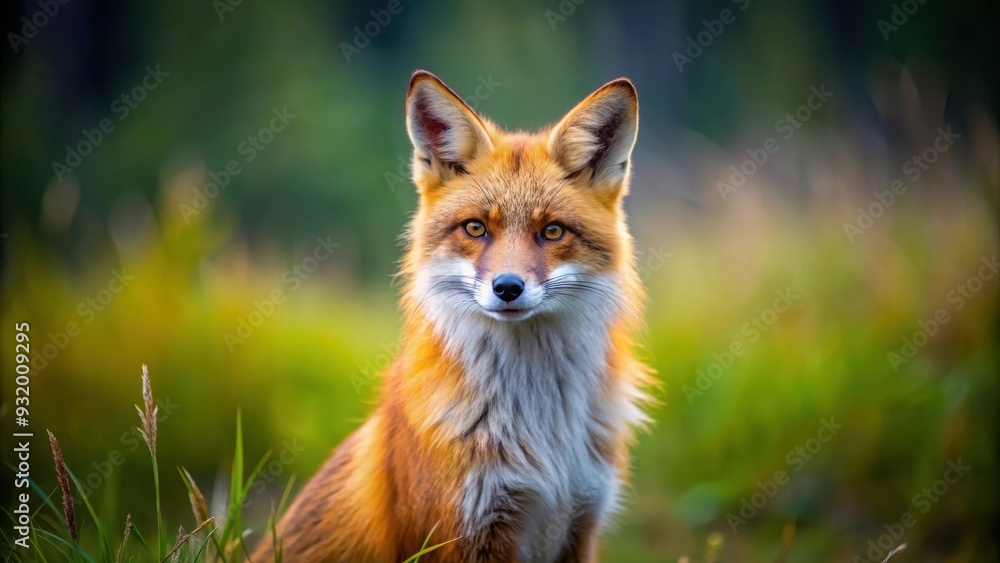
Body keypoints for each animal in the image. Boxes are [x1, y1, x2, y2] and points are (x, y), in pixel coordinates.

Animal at [253, 70, 653, 563]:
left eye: (553, 231)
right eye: (475, 228)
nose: (507, 288)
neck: (542, 431)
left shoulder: (580, 522)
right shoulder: (462, 533)